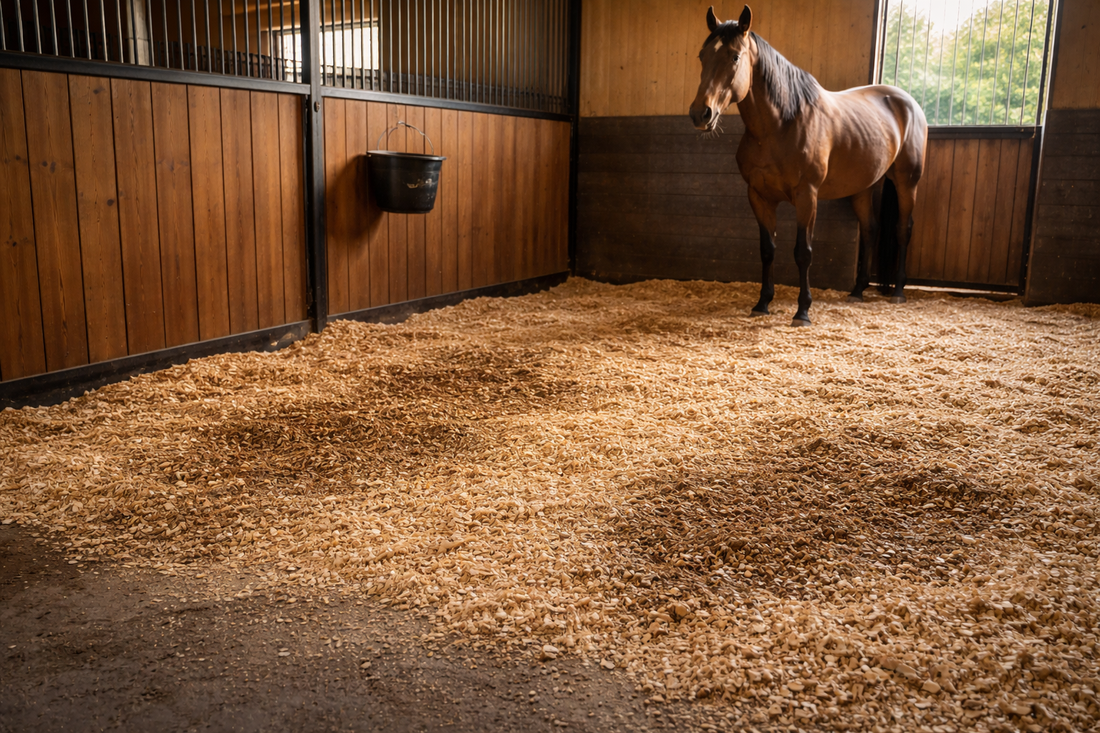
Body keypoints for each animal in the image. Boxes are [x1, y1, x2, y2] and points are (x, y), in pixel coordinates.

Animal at [689, 5, 928, 326]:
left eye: (735, 56)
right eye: (702, 56)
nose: (700, 114)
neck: (780, 125)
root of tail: (907, 102)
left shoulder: (807, 196)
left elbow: (803, 252)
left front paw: (802, 311)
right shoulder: (759, 197)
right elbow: (767, 250)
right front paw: (762, 303)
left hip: (906, 182)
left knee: (903, 229)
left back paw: (899, 291)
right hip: (864, 187)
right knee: (870, 229)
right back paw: (858, 290)